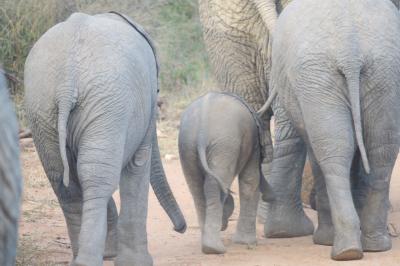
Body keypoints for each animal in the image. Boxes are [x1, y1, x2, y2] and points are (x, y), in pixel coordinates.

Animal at [24, 11, 187, 264]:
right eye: (158, 91)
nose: (180, 229)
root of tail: (66, 83)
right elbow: (138, 164)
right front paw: (137, 262)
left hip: (43, 107)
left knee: (66, 184)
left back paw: (84, 258)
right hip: (106, 105)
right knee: (97, 179)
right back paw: (90, 259)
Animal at [180, 91, 274, 254]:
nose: (271, 196)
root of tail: (202, 129)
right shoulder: (254, 145)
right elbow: (250, 181)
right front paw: (247, 243)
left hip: (189, 145)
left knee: (196, 189)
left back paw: (208, 246)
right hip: (224, 144)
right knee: (215, 185)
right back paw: (214, 248)